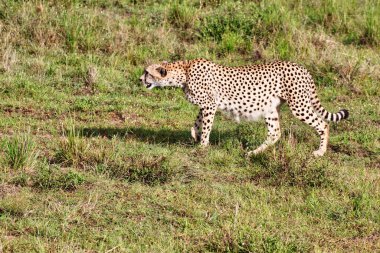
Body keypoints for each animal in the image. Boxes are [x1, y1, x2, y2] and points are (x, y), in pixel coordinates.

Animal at [140, 58, 348, 156]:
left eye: (147, 72)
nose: (139, 79)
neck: (184, 71)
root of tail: (302, 68)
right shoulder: (206, 104)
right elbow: (197, 122)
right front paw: (195, 135)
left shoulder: (210, 104)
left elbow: (206, 126)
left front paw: (202, 146)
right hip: (270, 108)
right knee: (275, 133)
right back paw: (252, 153)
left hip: (299, 105)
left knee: (323, 124)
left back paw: (320, 152)